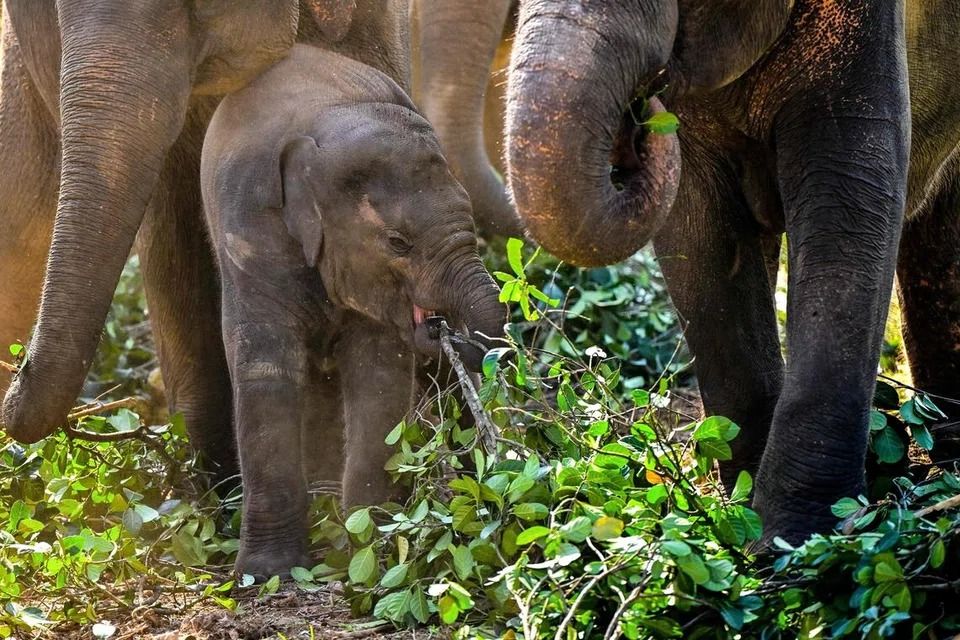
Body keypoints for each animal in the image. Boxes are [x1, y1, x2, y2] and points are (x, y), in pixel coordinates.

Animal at [201, 44, 506, 576]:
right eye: (398, 242)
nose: (452, 333)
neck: (326, 121)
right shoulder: (252, 229)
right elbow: (265, 370)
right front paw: (265, 574)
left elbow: (379, 374)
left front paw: (371, 548)